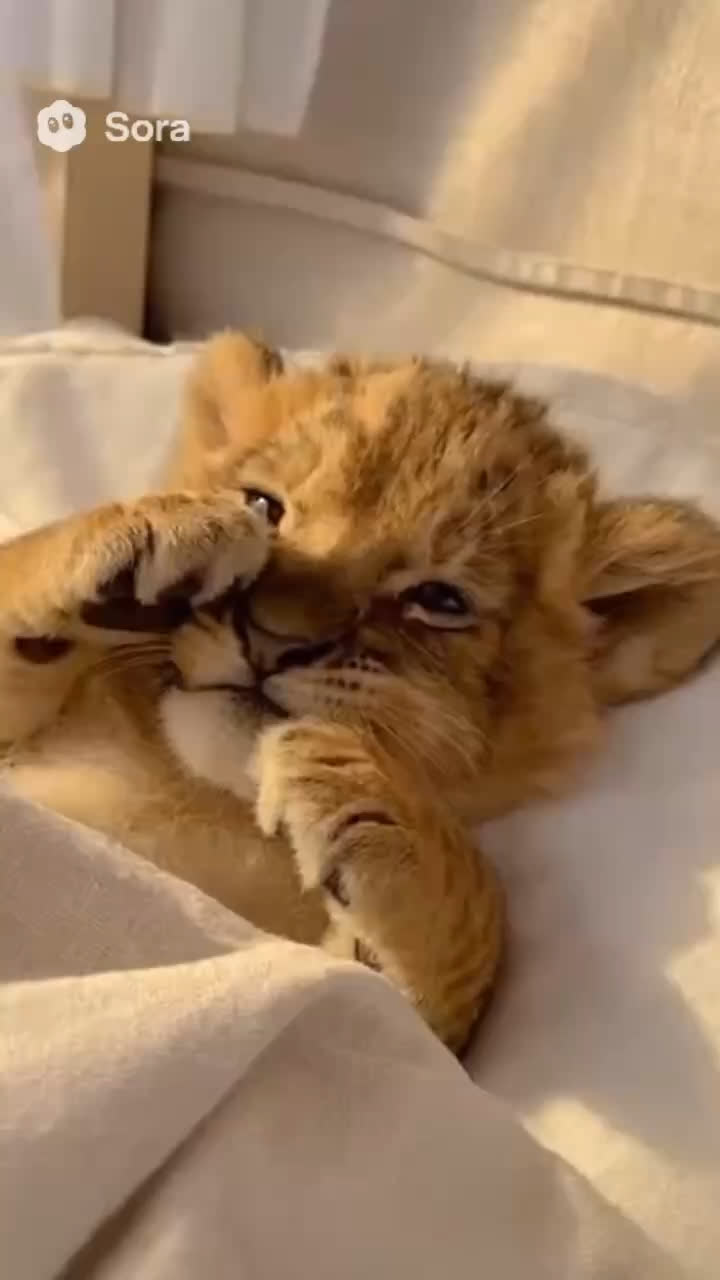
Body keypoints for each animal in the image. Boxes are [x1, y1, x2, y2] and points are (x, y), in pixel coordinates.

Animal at [2, 334, 720, 1051]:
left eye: (440, 600)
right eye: (263, 506)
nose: (271, 639)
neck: (198, 796)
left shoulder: (353, 1003)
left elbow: (460, 931)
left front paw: (353, 781)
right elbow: (19, 565)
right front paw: (155, 533)